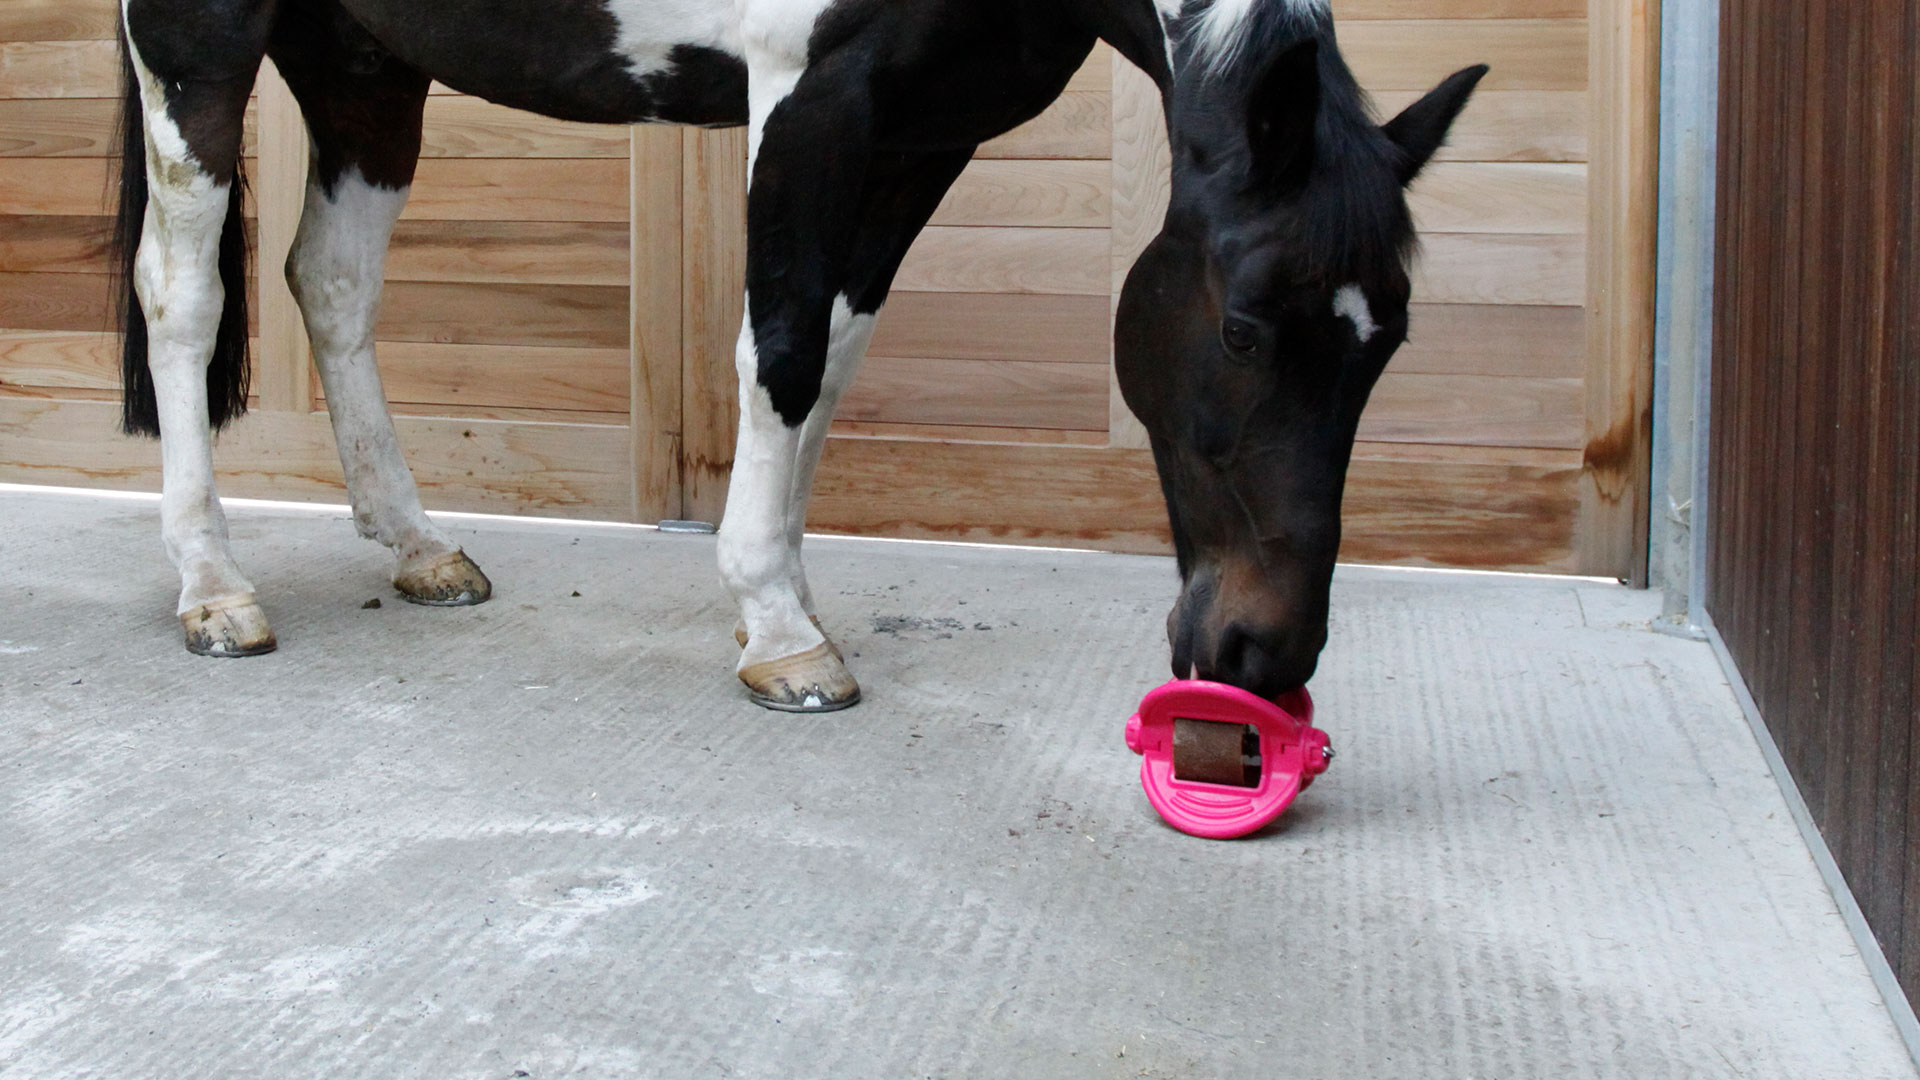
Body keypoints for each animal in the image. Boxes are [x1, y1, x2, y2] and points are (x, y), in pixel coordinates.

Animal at [111, 0, 1482, 711]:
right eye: (1243, 329)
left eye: (1388, 345)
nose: (1265, 655)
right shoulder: (810, 95)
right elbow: (778, 342)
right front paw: (780, 631)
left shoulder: (922, 134)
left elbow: (830, 349)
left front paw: (788, 598)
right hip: (202, 37)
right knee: (182, 298)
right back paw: (214, 589)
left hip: (363, 60)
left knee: (331, 283)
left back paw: (419, 548)